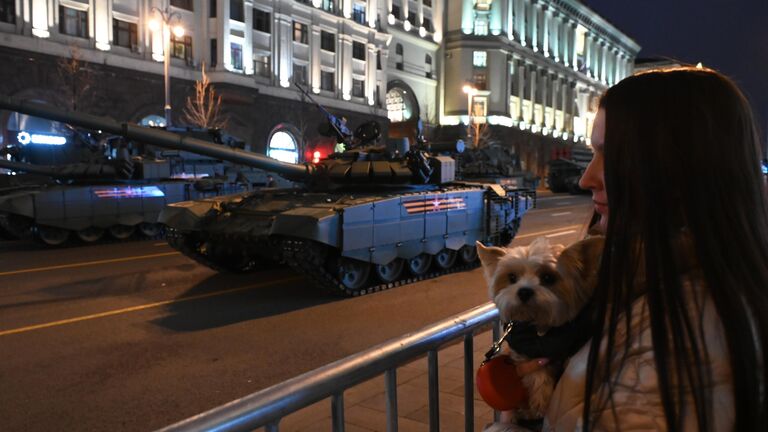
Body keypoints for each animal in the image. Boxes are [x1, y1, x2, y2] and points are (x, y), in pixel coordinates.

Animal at [474, 235, 608, 420]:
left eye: (548, 278)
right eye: (512, 277)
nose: (523, 291)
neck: (539, 326)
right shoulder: (525, 352)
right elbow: (537, 375)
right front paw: (537, 405)